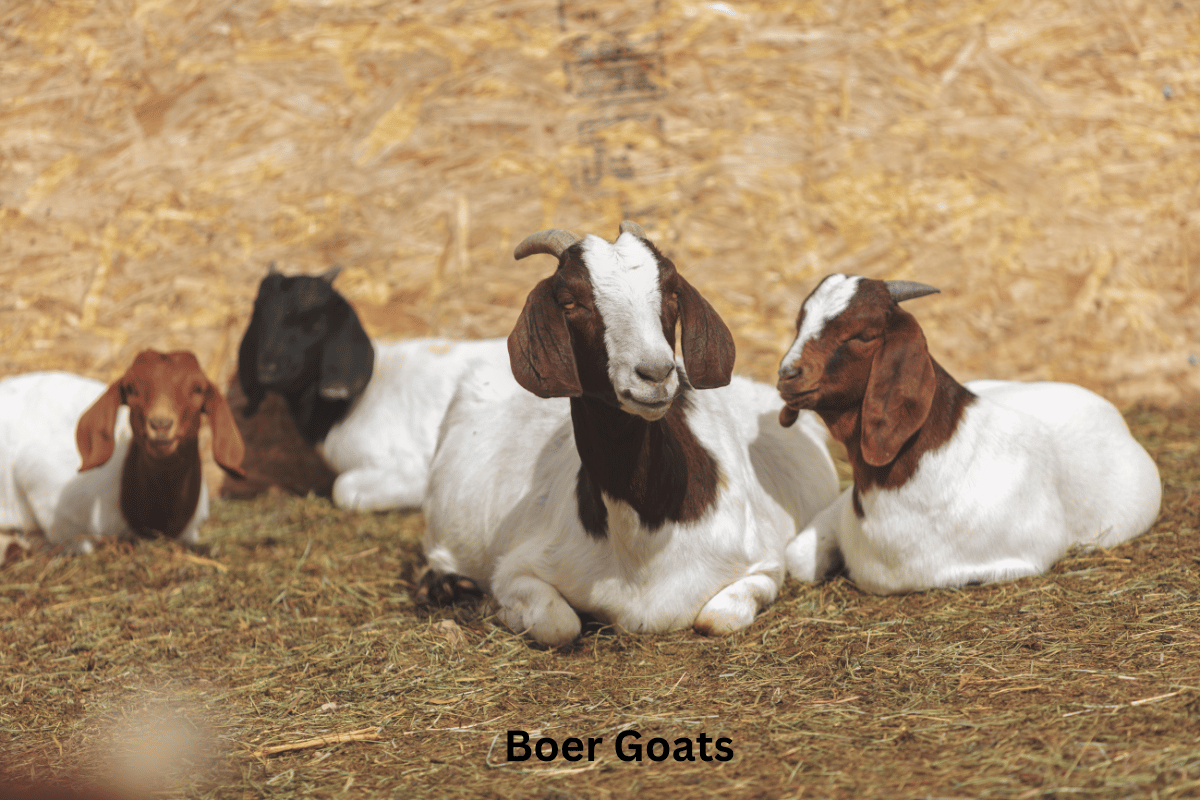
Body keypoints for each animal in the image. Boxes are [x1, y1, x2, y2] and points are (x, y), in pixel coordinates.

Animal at [422, 221, 839, 646]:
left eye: (672, 291)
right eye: (569, 301)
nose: (655, 374)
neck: (645, 534)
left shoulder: (765, 566)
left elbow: (716, 618)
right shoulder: (516, 567)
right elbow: (558, 625)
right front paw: (492, 605)